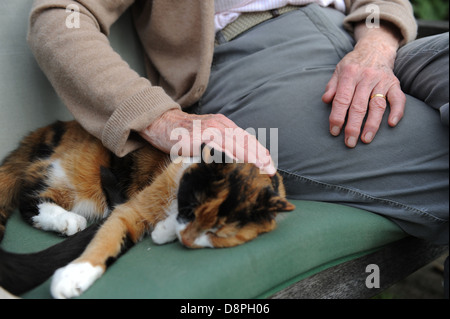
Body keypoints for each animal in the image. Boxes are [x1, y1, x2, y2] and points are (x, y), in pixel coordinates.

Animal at [0, 121, 296, 298]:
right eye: (191, 208)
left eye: (217, 234)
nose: (186, 240)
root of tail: (53, 127)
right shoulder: (128, 209)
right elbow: (105, 241)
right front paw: (73, 275)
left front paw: (164, 231)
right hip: (77, 181)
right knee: (29, 198)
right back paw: (66, 221)